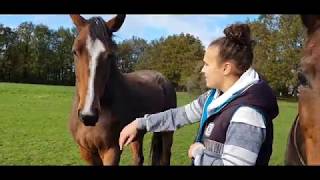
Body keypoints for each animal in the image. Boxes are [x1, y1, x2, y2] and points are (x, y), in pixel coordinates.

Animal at [68, 14, 176, 165]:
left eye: (110, 55)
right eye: (75, 51)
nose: (88, 115)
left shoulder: (112, 150)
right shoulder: (86, 151)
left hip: (167, 132)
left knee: (165, 157)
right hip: (135, 133)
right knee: (139, 158)